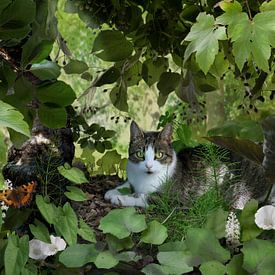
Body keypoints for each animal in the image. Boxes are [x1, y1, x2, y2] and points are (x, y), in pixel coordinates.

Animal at [104, 121, 272, 209]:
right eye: (140, 154)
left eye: (159, 155)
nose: (149, 166)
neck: (144, 179)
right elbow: (127, 184)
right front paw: (113, 191)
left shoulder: (173, 198)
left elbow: (145, 197)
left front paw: (121, 198)